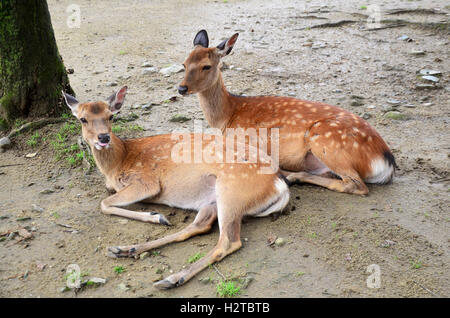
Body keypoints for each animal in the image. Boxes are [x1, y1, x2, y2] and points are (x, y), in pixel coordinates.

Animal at [61, 86, 290, 288]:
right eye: (82, 118)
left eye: (111, 116)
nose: (103, 137)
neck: (118, 162)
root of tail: (279, 184)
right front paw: (157, 217)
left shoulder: (147, 182)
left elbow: (104, 204)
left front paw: (154, 215)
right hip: (213, 200)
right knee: (198, 227)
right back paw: (126, 249)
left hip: (231, 191)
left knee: (228, 241)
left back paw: (172, 278)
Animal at [178, 29, 396, 196]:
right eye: (184, 64)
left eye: (206, 66)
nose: (181, 88)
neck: (227, 117)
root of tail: (386, 161)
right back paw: (293, 175)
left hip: (326, 140)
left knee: (356, 185)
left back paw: (290, 176)